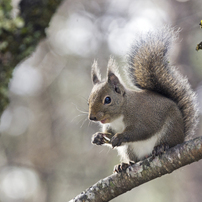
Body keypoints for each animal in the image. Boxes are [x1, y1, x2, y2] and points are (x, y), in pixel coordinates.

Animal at [87, 26, 199, 172]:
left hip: (171, 129)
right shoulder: (110, 126)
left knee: (169, 142)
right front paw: (98, 137)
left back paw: (161, 147)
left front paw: (119, 137)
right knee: (135, 160)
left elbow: (142, 131)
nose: (92, 117)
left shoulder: (143, 117)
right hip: (129, 149)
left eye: (107, 100)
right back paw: (124, 164)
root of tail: (182, 137)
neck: (122, 111)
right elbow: (108, 134)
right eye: (88, 101)